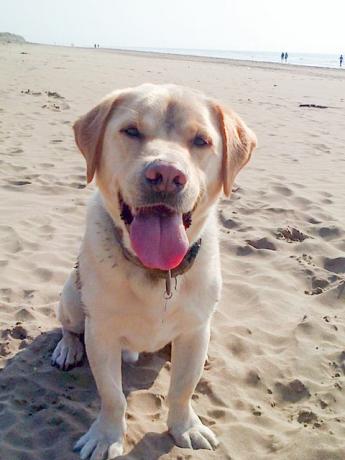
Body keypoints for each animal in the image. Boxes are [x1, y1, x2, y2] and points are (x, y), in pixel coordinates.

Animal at [51, 83, 255, 460]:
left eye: (201, 140)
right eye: (131, 131)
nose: (166, 176)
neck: (157, 272)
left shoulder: (195, 330)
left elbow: (183, 388)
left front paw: (185, 427)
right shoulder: (101, 334)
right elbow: (112, 396)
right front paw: (106, 436)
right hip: (72, 296)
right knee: (69, 326)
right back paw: (67, 348)